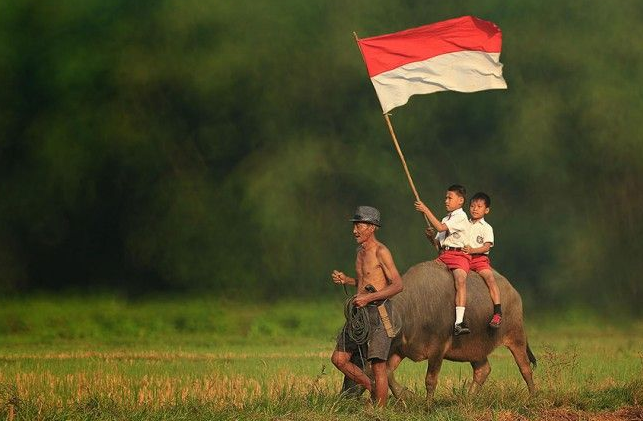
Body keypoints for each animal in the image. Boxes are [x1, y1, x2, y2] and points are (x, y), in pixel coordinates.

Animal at [342, 260, 540, 402]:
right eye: (352, 359)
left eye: (358, 362)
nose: (344, 395)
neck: (411, 310)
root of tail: (513, 291)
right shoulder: (401, 348)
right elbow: (388, 373)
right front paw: (406, 395)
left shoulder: (438, 348)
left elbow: (430, 380)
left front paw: (428, 406)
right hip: (474, 348)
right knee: (483, 369)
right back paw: (468, 398)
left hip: (516, 336)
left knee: (524, 367)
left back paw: (532, 397)